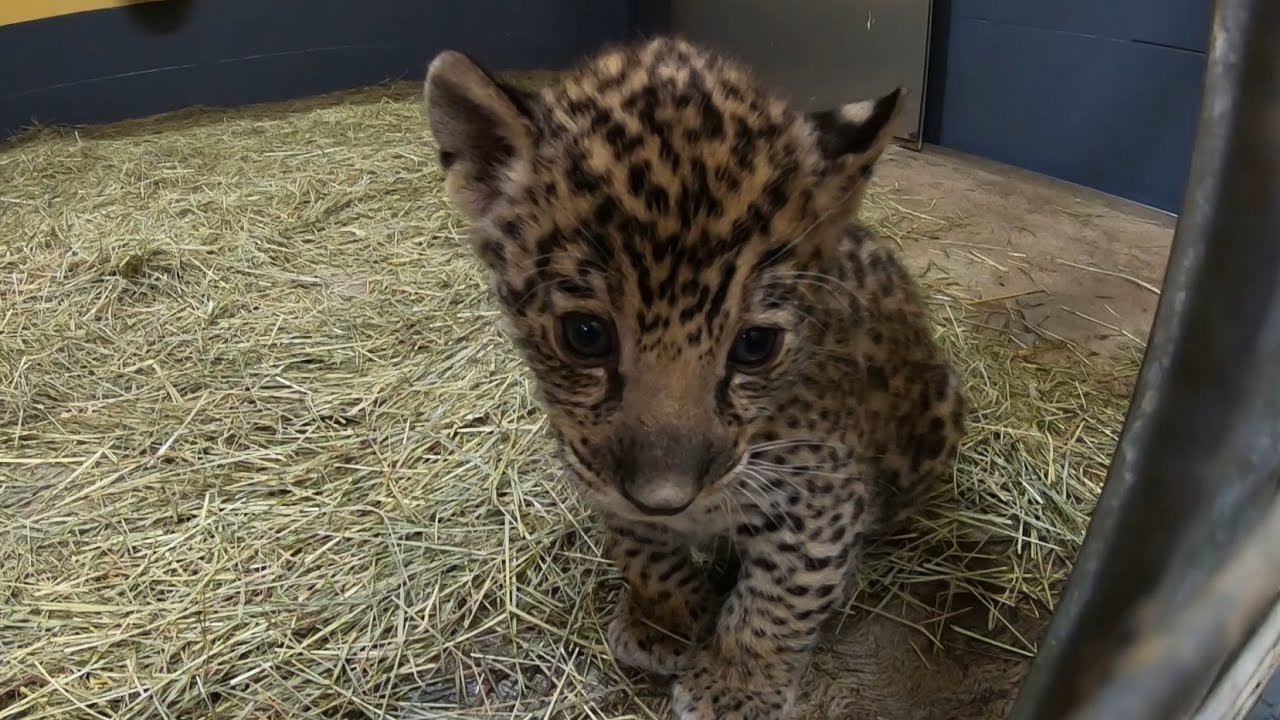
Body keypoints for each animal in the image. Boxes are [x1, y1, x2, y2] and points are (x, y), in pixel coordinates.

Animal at [422, 36, 966, 720]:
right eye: (585, 335)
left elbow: (783, 592)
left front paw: (736, 681)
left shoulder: (822, 489)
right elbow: (642, 548)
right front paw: (666, 621)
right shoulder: (596, 470)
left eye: (755, 347)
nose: (667, 496)